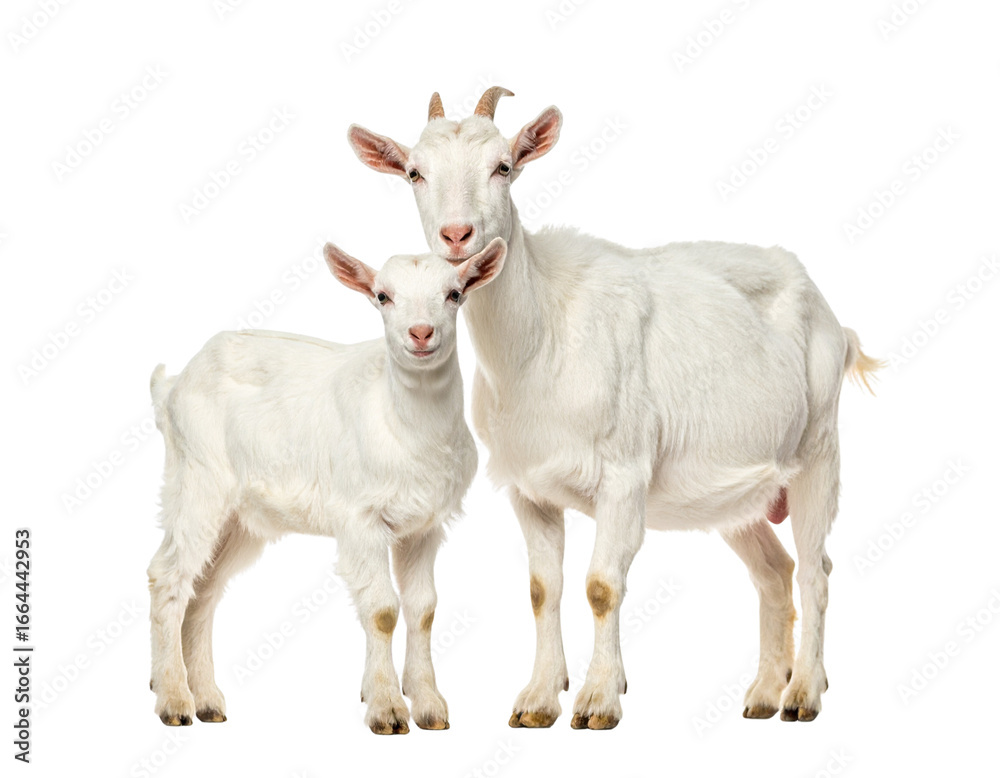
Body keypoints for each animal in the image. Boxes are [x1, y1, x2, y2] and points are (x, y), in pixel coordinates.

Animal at [146, 237, 507, 733]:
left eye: (454, 294)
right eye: (383, 296)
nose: (421, 333)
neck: (405, 422)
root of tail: (173, 387)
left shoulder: (424, 525)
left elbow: (424, 609)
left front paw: (430, 705)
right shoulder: (361, 518)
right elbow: (382, 610)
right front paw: (387, 708)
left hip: (239, 519)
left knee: (203, 591)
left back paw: (207, 701)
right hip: (199, 481)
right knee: (168, 576)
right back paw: (173, 700)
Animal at [347, 87, 881, 728]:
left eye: (504, 166)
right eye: (414, 172)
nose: (457, 235)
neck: (542, 337)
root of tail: (834, 319)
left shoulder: (625, 474)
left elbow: (602, 585)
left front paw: (598, 701)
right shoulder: (527, 486)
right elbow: (542, 589)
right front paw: (537, 700)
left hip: (817, 449)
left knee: (816, 571)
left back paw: (804, 693)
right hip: (743, 490)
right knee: (775, 572)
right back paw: (761, 694)